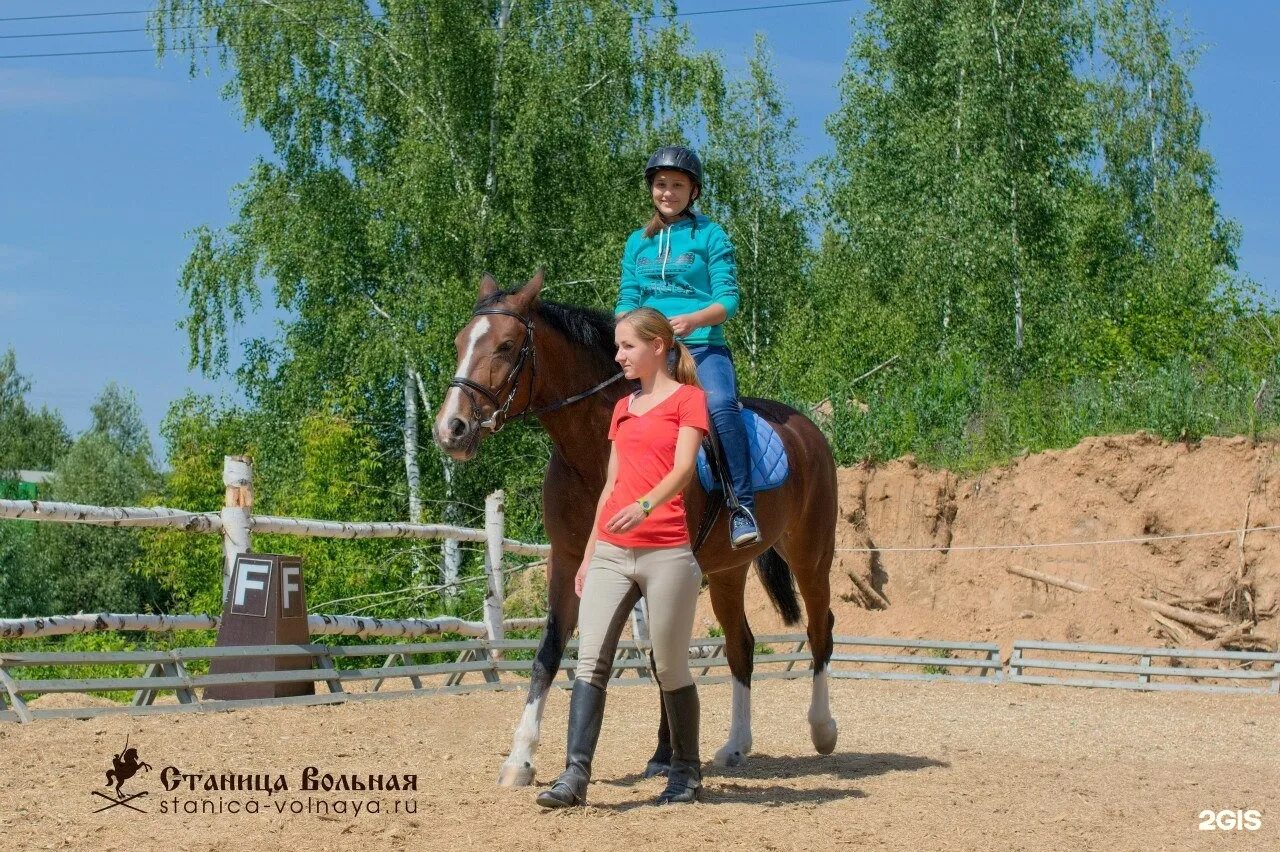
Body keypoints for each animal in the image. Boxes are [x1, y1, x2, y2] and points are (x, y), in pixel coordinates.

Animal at [435, 272, 844, 782]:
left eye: (507, 345)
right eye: (458, 343)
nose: (450, 428)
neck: (595, 453)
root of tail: (806, 429)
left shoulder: (665, 563)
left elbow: (660, 653)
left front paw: (667, 754)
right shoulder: (569, 561)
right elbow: (553, 649)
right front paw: (520, 758)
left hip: (810, 555)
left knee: (819, 627)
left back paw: (823, 729)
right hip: (728, 572)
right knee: (741, 645)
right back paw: (735, 745)